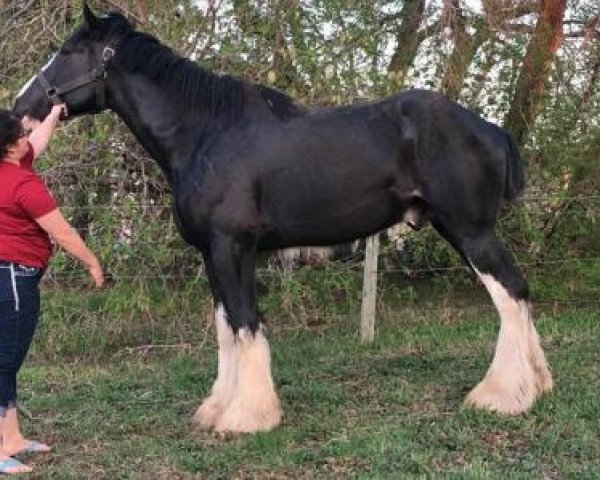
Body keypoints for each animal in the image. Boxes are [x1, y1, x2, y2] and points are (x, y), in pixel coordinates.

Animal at [12, 4, 552, 432]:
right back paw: (537, 386)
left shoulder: (233, 246)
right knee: (518, 295)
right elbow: (227, 326)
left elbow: (246, 323)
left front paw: (247, 417)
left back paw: (500, 396)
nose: (19, 108)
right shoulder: (212, 253)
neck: (206, 133)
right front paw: (217, 408)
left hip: (470, 230)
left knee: (511, 294)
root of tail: (488, 127)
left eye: (68, 51)